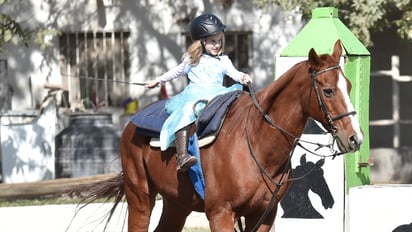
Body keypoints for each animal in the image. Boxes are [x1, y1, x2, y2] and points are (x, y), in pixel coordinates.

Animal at [72, 40, 362, 232]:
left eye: (348, 86)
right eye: (328, 91)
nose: (355, 138)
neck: (257, 142)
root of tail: (131, 124)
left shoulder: (263, 216)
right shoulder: (220, 214)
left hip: (176, 204)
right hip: (140, 197)